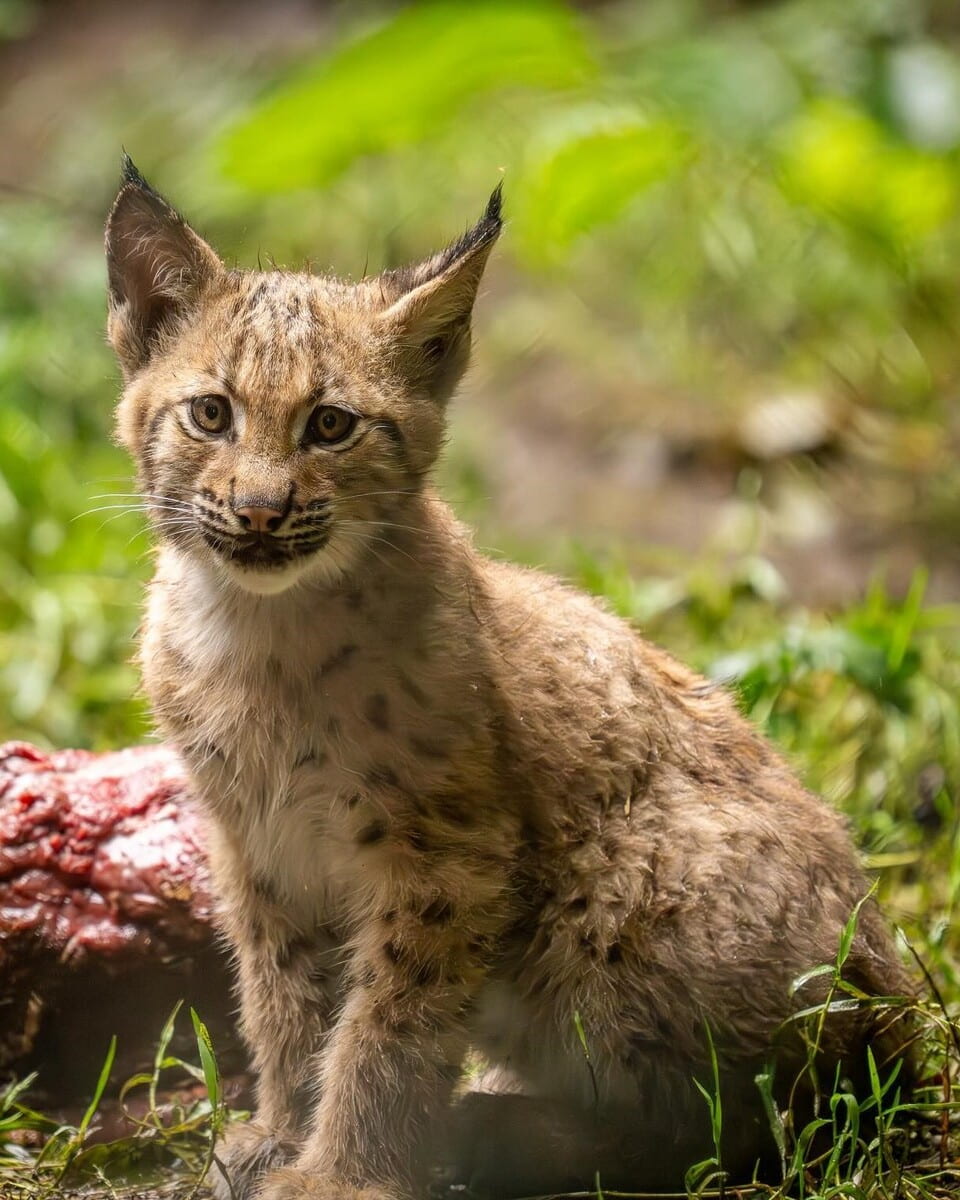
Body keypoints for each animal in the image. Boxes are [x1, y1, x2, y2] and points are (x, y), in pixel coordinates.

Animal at [108, 162, 912, 1200]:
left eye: (330, 426)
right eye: (212, 413)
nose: (258, 512)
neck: (254, 623)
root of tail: (901, 1004)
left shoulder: (447, 854)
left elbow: (389, 1024)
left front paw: (341, 1174)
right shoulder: (257, 843)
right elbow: (284, 999)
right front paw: (283, 1132)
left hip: (620, 890)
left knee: (751, 1124)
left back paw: (495, 1137)